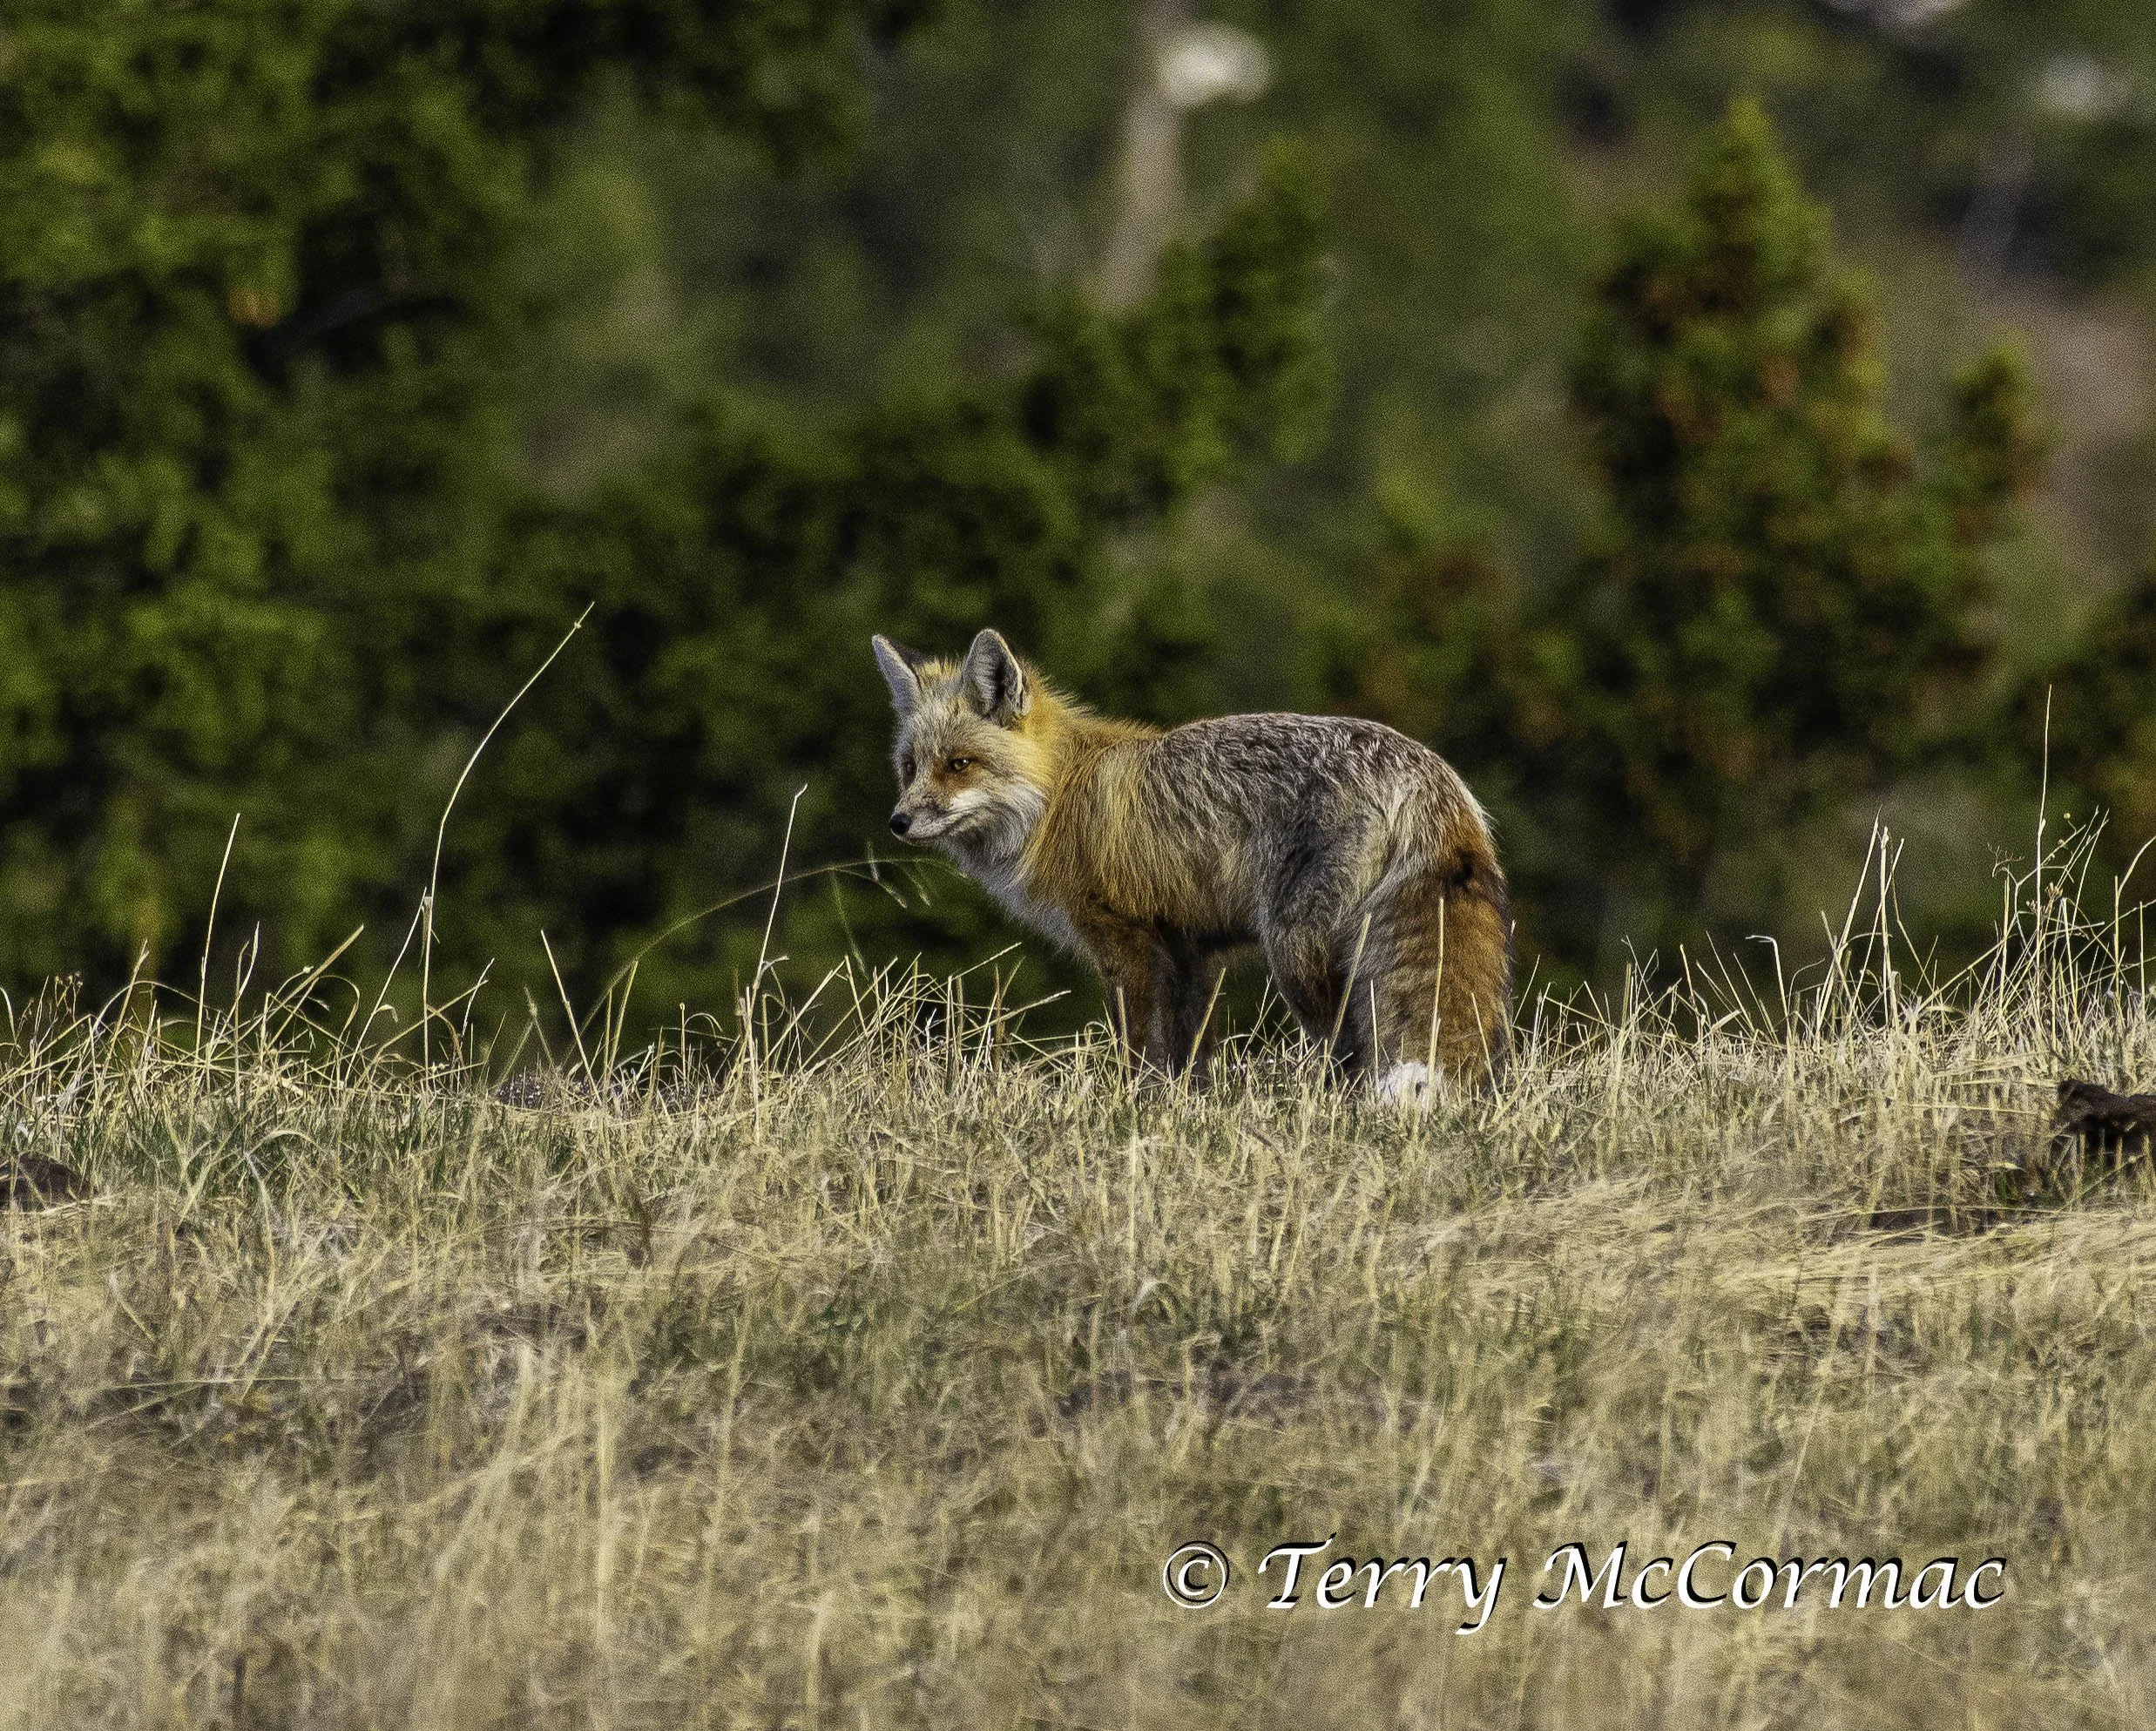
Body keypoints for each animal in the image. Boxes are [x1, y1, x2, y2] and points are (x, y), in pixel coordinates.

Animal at [872, 628, 1512, 1094]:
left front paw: (1127, 1108)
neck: (1059, 796)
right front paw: (1178, 1112)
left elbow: (1138, 1050)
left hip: (1296, 954)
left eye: (959, 764)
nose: (897, 821)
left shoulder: (1125, 941)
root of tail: (1430, 773)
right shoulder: (1189, 950)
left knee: (1350, 1049)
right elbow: (1188, 1058)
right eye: (910, 767)